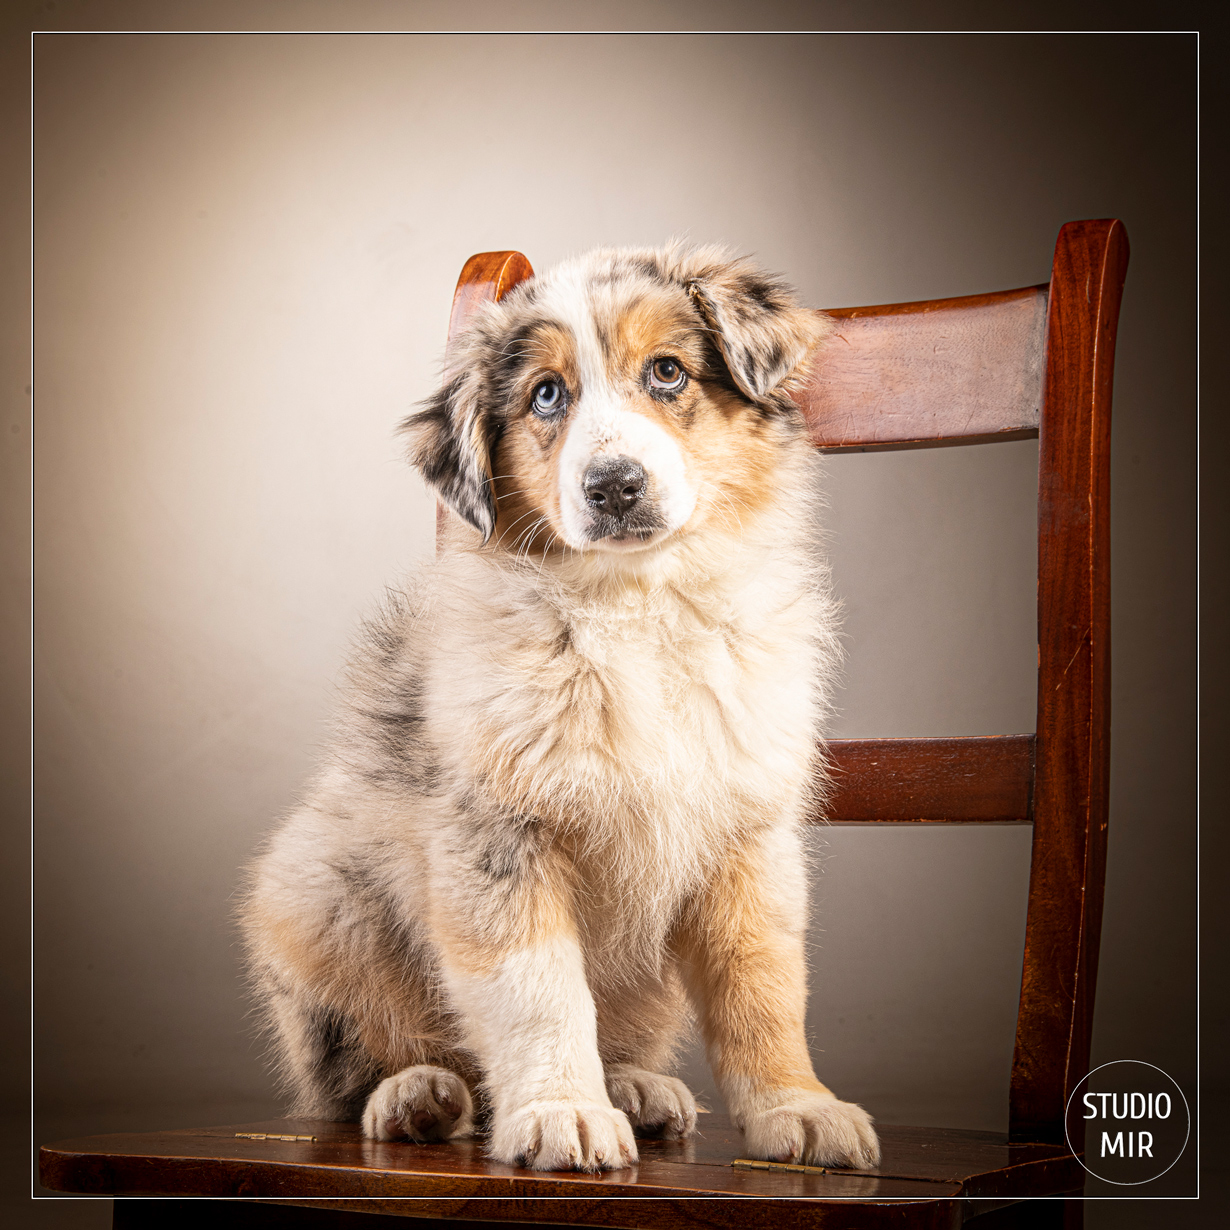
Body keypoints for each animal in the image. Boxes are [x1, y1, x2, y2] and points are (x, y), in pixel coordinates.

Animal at [239, 239, 880, 1170]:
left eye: (667, 372)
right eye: (547, 394)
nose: (614, 486)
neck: (636, 604)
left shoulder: (748, 832)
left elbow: (761, 985)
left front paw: (797, 1106)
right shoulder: (499, 833)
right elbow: (539, 989)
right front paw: (560, 1111)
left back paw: (636, 1088)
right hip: (313, 893)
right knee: (349, 1070)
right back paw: (418, 1095)